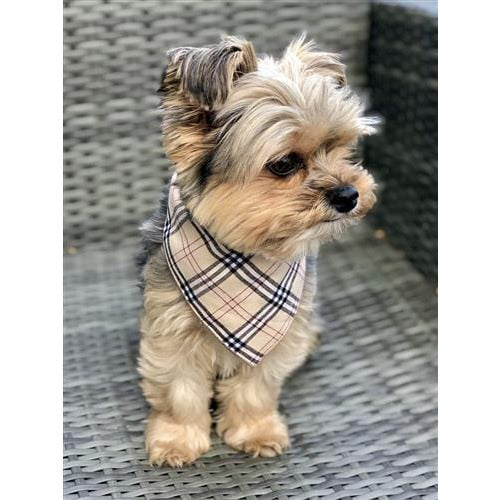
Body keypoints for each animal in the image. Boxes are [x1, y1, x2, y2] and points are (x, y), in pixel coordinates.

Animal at [136, 36, 376, 468]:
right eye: (283, 164)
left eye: (338, 147)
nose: (349, 195)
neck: (245, 254)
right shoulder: (171, 332)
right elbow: (180, 392)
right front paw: (177, 440)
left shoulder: (275, 337)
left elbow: (254, 390)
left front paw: (255, 432)